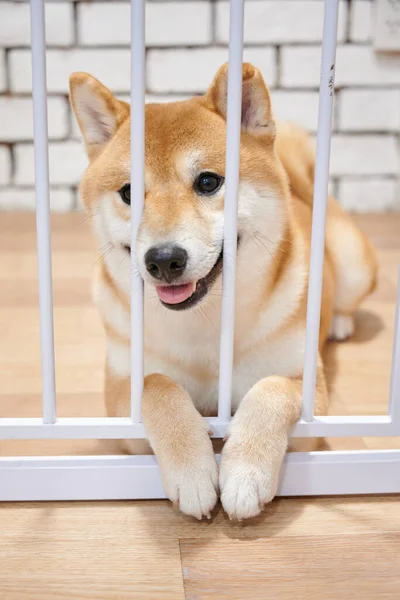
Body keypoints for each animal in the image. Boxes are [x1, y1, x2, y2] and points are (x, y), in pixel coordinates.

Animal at [69, 62, 378, 520]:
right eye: (128, 193)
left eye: (208, 182)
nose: (164, 259)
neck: (206, 326)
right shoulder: (122, 405)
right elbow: (157, 387)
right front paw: (193, 471)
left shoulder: (310, 403)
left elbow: (270, 389)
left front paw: (245, 472)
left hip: (355, 263)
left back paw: (339, 323)